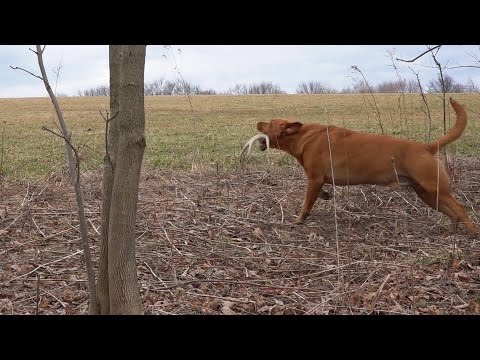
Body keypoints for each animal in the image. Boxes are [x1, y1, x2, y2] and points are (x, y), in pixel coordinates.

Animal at [255, 97, 476, 236]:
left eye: (269, 123)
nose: (257, 123)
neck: (301, 137)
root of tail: (425, 147)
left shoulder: (314, 179)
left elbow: (306, 204)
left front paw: (299, 220)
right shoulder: (317, 181)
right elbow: (320, 194)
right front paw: (326, 195)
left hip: (435, 189)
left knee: (460, 208)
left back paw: (473, 232)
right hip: (427, 194)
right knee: (453, 213)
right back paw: (452, 232)